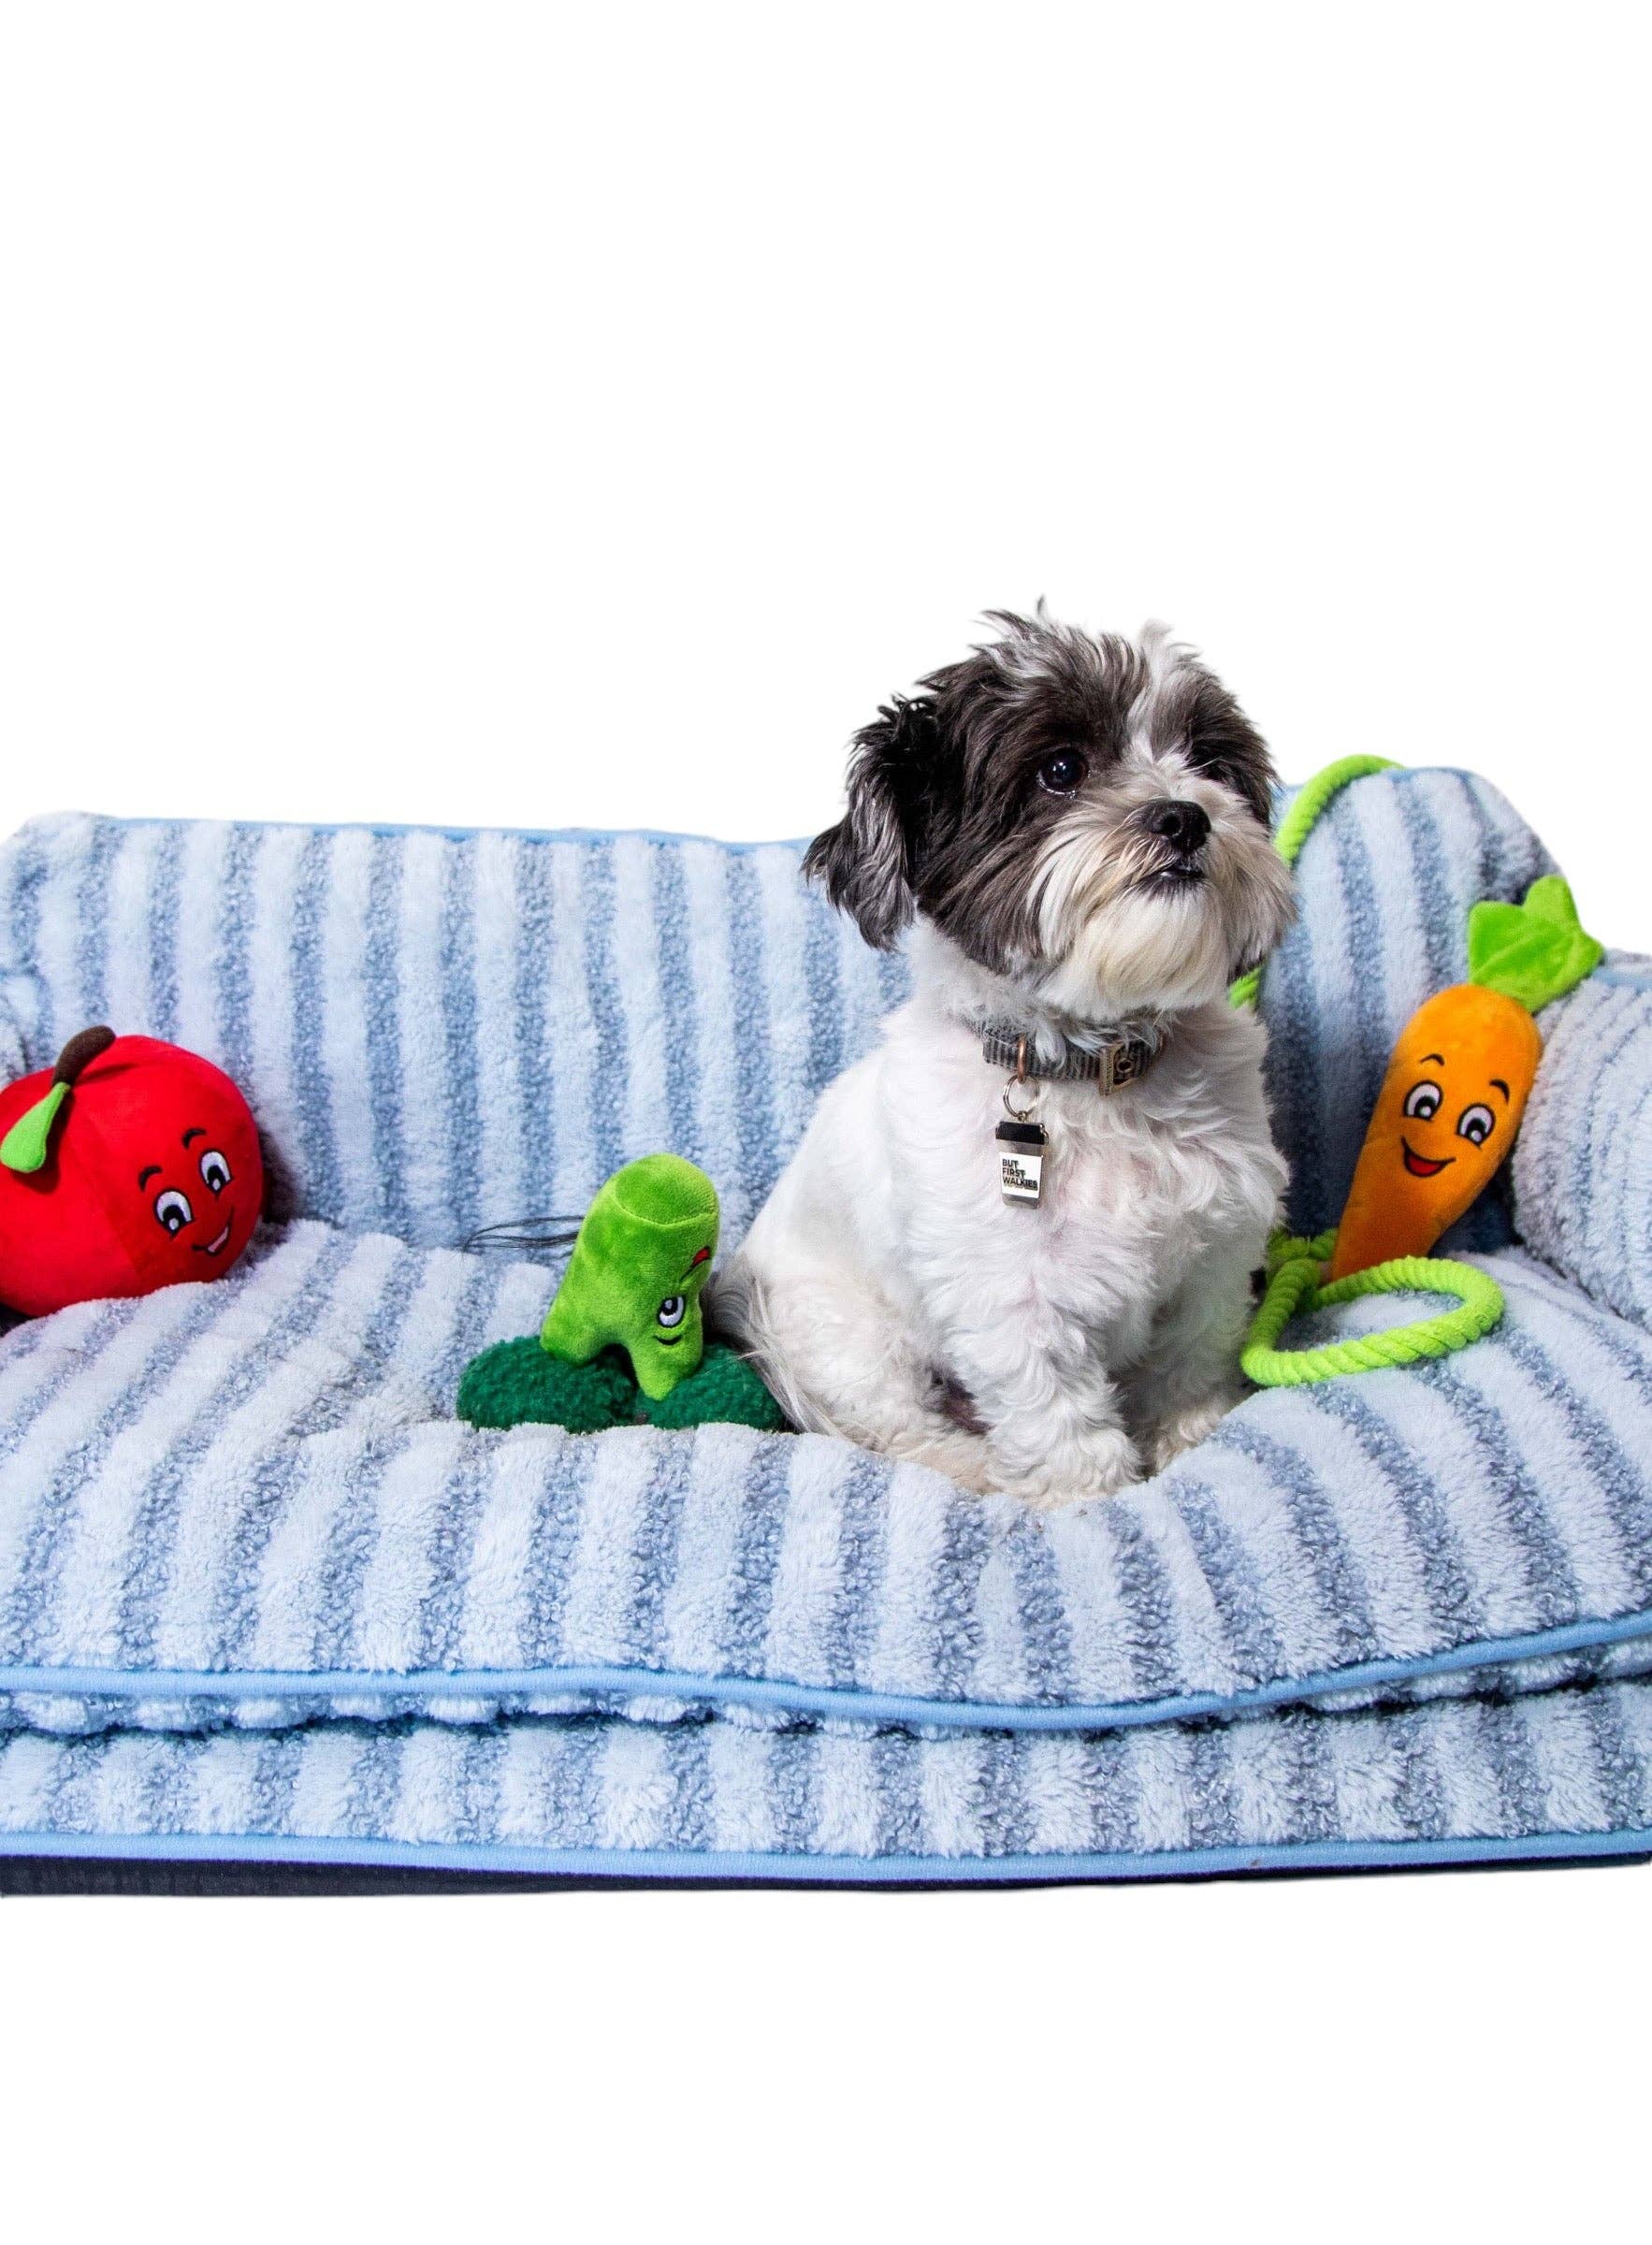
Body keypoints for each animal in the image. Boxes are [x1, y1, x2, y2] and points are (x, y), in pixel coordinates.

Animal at [717, 610, 1293, 1508]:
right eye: (1061, 770)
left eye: (1207, 761)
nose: (1185, 815)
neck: (1097, 1069)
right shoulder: (1012, 1300)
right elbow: (1056, 1412)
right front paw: (1089, 1495)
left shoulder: (1215, 1260)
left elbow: (1189, 1360)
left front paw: (1187, 1436)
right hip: (843, 1336)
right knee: (896, 1425)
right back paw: (969, 1461)